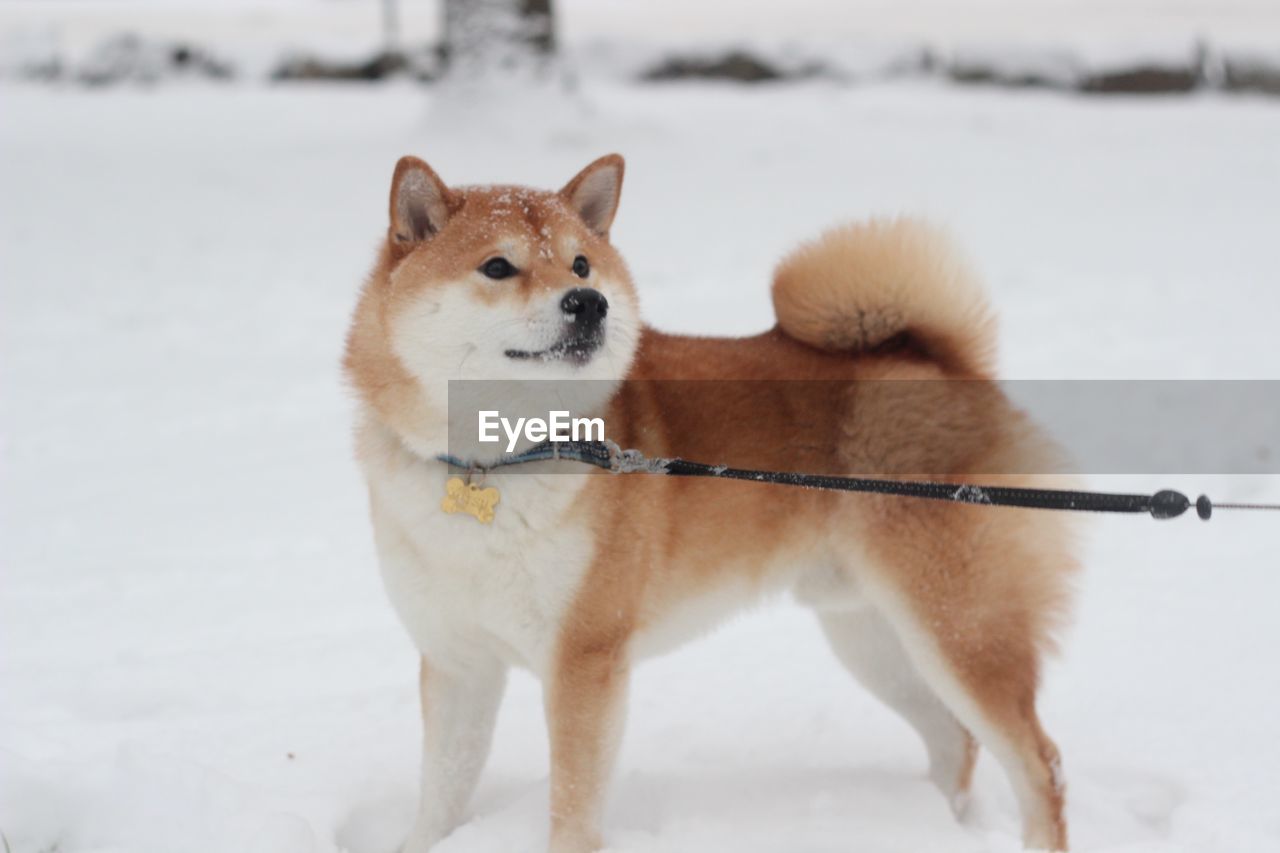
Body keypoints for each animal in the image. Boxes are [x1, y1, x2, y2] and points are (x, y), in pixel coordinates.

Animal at [345, 154, 1075, 850]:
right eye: (497, 266)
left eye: (581, 263)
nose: (589, 302)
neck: (495, 462)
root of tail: (939, 361)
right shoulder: (457, 662)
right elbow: (441, 793)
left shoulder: (584, 662)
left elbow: (572, 807)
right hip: (875, 637)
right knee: (957, 741)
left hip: (957, 630)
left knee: (1040, 761)